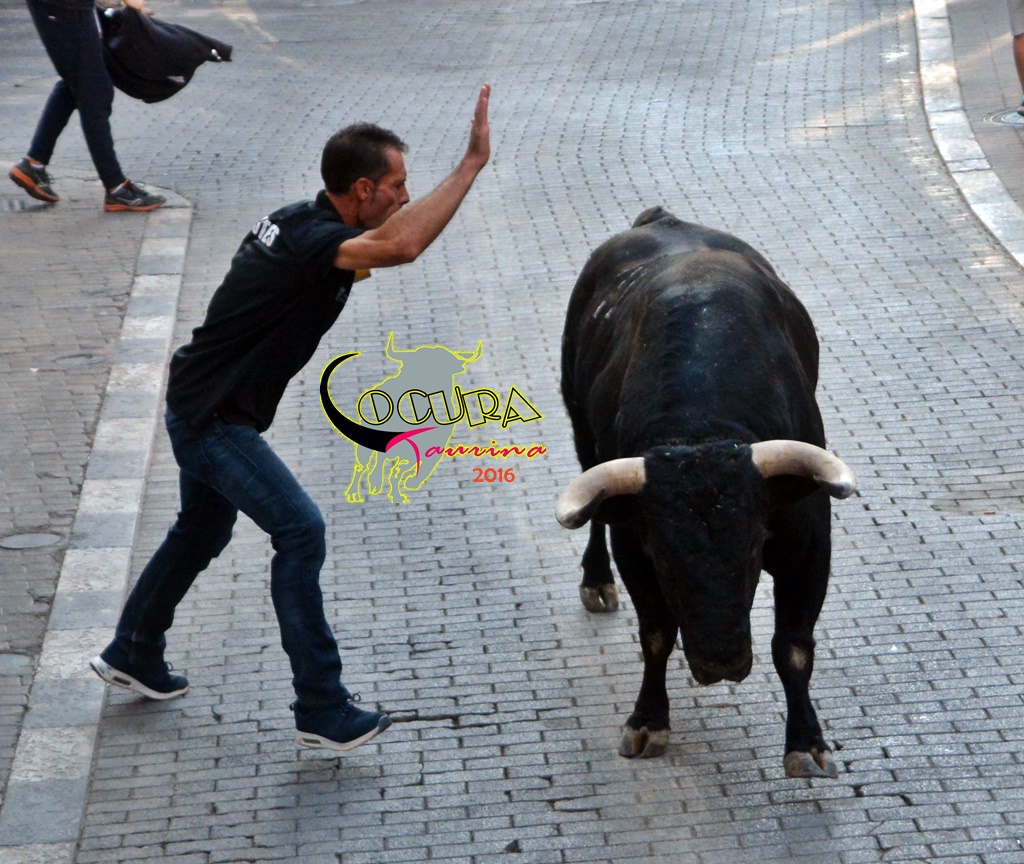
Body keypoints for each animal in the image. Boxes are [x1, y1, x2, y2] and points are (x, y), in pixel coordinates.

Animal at [556, 207, 856, 779]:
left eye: (754, 547)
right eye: (664, 558)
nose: (722, 662)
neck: (701, 428)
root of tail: (662, 218)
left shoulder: (809, 542)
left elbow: (793, 645)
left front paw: (806, 742)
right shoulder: (634, 546)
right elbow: (656, 634)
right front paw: (648, 721)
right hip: (582, 432)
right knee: (596, 515)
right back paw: (595, 580)